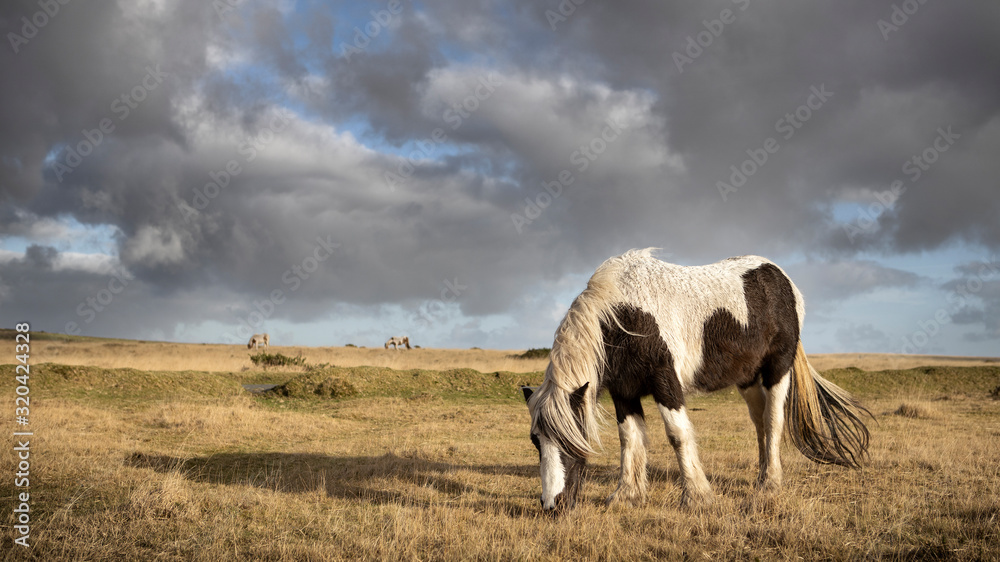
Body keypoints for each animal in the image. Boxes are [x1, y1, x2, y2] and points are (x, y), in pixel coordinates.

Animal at [522, 249, 871, 511]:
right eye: (536, 441)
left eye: (570, 440)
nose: (552, 505)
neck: (624, 316)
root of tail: (781, 278)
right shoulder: (624, 391)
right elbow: (630, 439)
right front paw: (627, 496)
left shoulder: (665, 382)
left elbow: (678, 435)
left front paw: (697, 497)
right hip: (747, 379)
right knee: (759, 421)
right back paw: (760, 478)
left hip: (777, 369)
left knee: (773, 421)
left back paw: (770, 484)